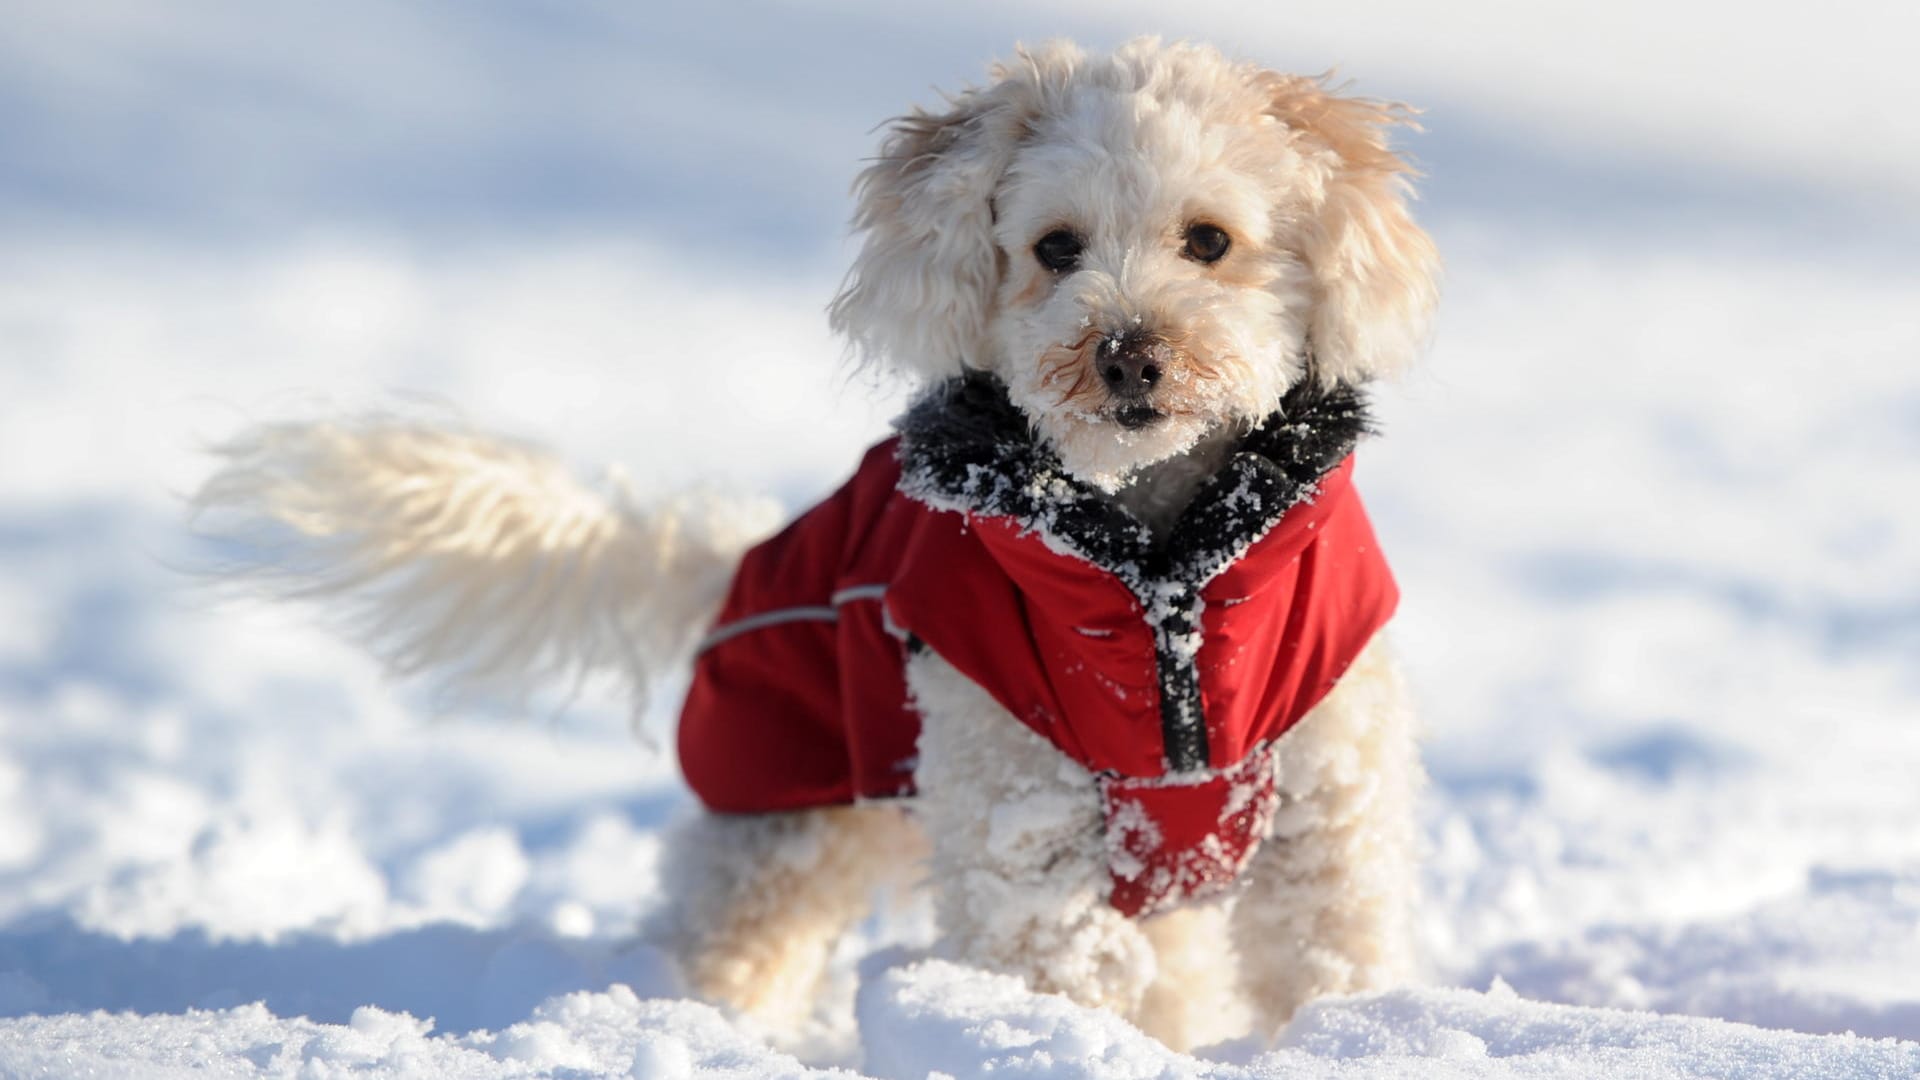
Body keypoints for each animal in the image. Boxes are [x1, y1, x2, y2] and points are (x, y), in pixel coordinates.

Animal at [194, 37, 1436, 1045]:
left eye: (1210, 240)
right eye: (1055, 247)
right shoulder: (1023, 816)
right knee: (735, 941)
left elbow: (1327, 959)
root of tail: (743, 559)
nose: (1128, 354)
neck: (1155, 566)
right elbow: (1057, 969)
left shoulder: (1324, 808)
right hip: (779, 816)